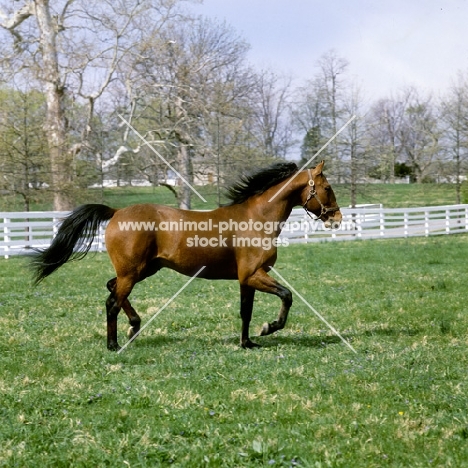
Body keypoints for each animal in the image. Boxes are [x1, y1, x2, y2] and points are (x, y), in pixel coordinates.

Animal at [31, 159, 342, 350]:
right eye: (327, 187)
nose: (337, 218)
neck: (256, 218)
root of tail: (117, 212)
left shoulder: (247, 278)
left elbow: (246, 311)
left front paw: (248, 343)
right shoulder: (254, 275)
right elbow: (286, 296)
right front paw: (269, 328)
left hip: (143, 270)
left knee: (111, 289)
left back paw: (134, 327)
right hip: (132, 272)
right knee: (111, 302)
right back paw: (114, 344)